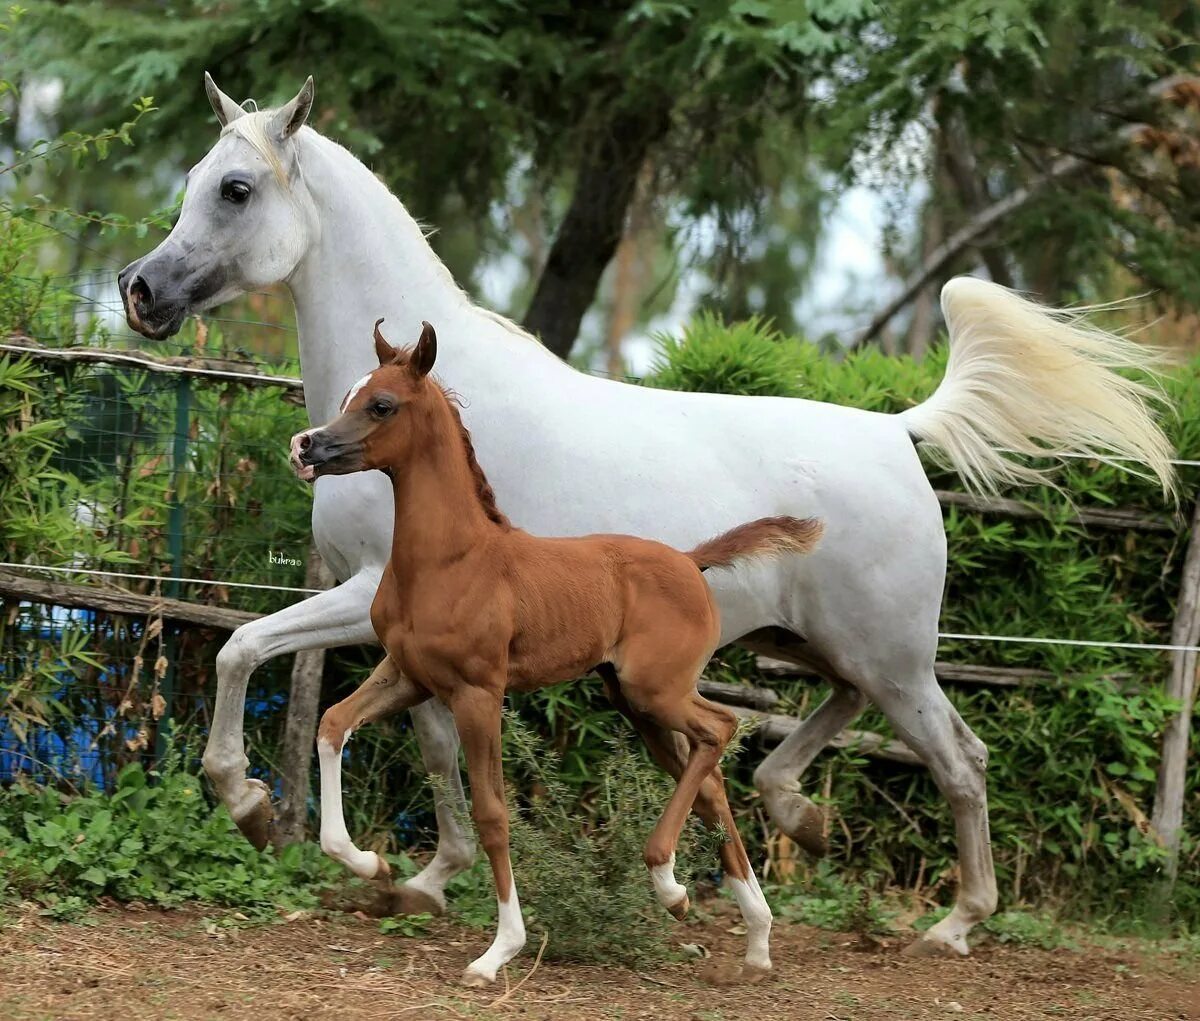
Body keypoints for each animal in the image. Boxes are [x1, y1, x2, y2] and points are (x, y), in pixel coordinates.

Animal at [288, 321, 825, 988]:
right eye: (346, 397)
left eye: (382, 404)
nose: (306, 446)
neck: (449, 561)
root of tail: (690, 560)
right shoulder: (408, 675)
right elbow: (333, 723)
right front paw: (368, 863)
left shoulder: (477, 692)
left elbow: (493, 813)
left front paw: (498, 951)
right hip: (635, 704)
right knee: (711, 776)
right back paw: (748, 934)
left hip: (656, 689)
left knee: (722, 727)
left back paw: (669, 882)